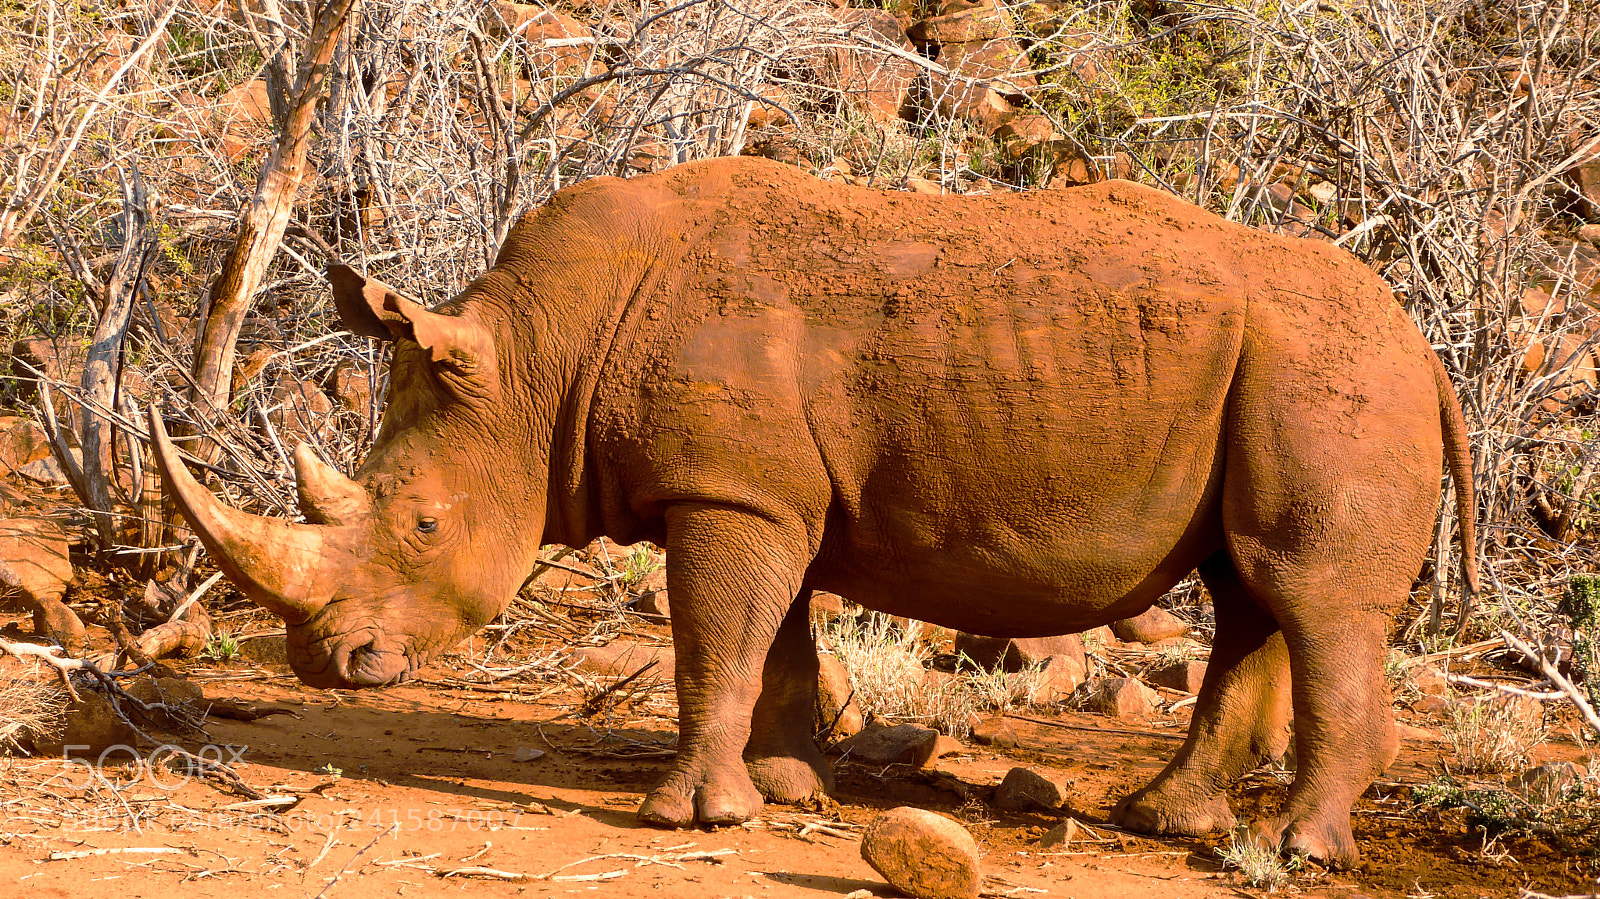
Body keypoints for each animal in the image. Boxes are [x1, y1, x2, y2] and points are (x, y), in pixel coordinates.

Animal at [147, 153, 1472, 863]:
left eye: (421, 525)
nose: (327, 665)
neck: (538, 356)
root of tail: (1425, 345)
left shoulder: (732, 490)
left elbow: (711, 641)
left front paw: (684, 816)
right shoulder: (758, 489)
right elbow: (766, 641)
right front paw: (787, 791)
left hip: (1332, 375)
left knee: (1309, 592)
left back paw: (1296, 848)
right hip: (1283, 369)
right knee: (1249, 584)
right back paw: (1161, 819)